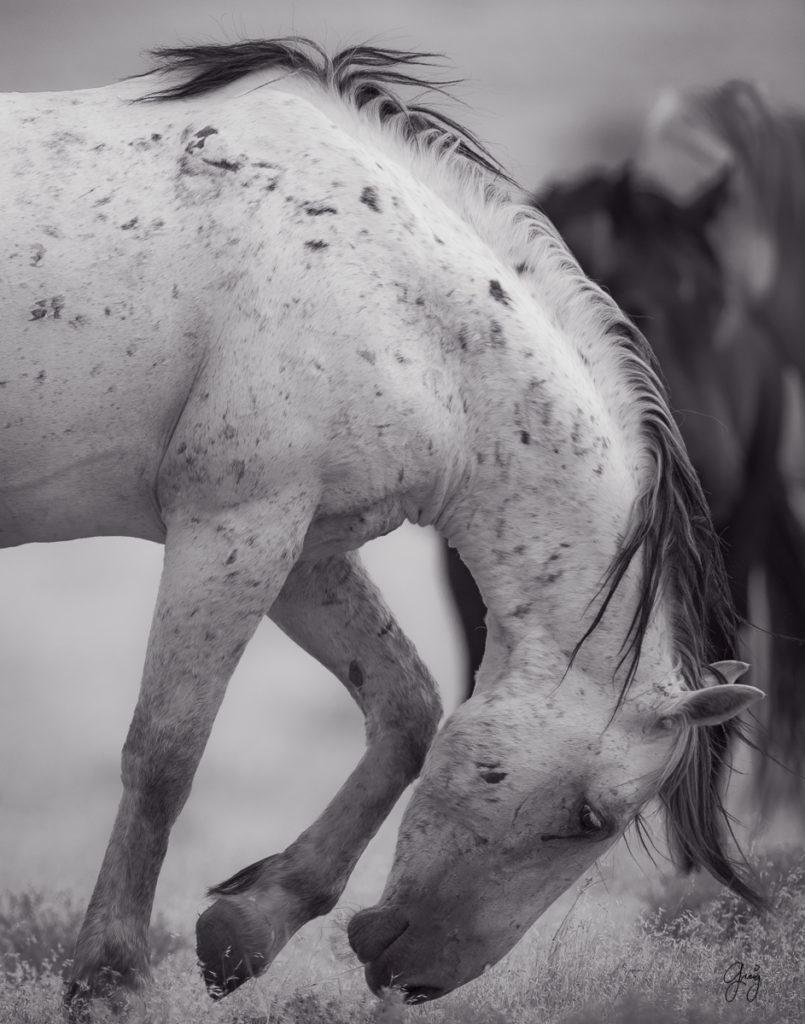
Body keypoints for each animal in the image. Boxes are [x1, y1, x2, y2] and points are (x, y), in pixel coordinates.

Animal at [0, 41, 761, 1015]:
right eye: (590, 817)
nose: (416, 978)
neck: (403, 304)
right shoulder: (234, 523)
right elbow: (166, 753)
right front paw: (107, 980)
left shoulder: (304, 547)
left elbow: (407, 712)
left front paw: (249, 928)